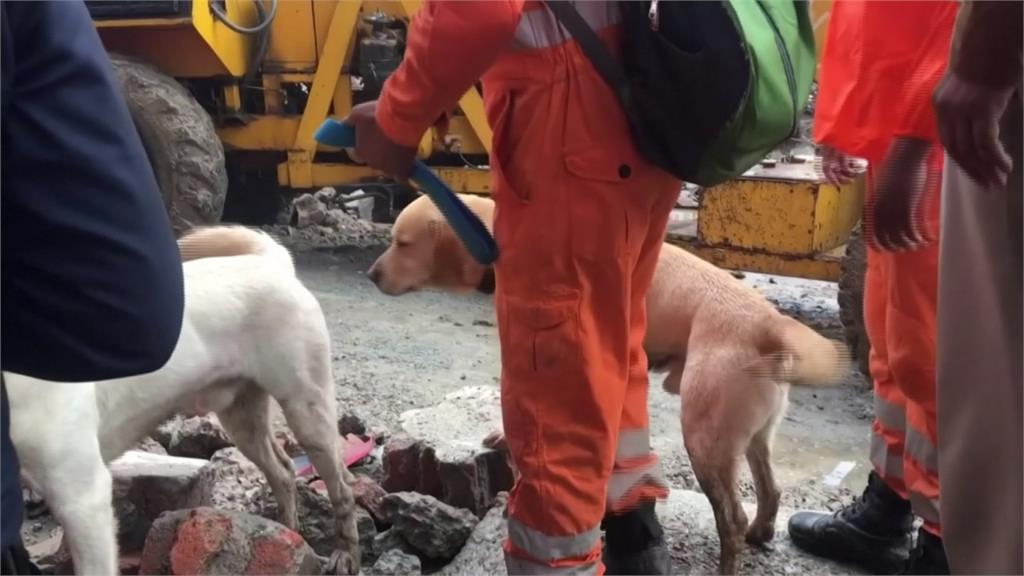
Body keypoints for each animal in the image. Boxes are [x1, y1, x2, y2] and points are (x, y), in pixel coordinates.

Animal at [6, 226, 360, 569]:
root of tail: (269, 262)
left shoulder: (83, 498)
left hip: (308, 411)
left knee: (343, 486)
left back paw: (345, 554)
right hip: (243, 419)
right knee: (284, 472)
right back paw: (288, 534)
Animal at [368, 194, 847, 569]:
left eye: (402, 243)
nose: (371, 275)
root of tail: (770, 323)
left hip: (705, 439)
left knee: (731, 519)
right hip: (753, 435)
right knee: (770, 490)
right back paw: (762, 531)